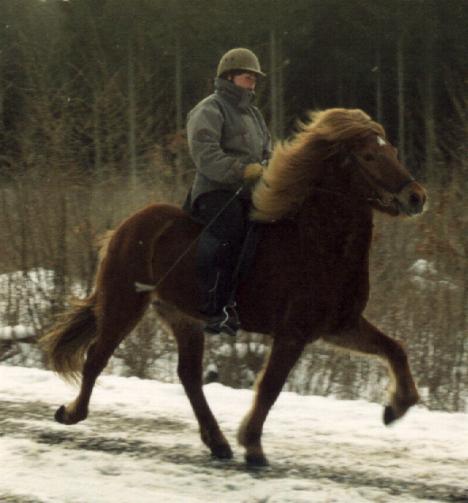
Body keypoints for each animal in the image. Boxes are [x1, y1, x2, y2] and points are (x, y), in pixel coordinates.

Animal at [41, 110, 428, 468]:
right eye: (369, 156)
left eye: (392, 150)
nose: (416, 197)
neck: (318, 243)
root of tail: (126, 225)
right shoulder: (293, 333)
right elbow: (270, 388)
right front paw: (253, 445)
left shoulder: (340, 326)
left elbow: (396, 349)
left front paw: (395, 408)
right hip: (124, 303)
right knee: (97, 356)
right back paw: (71, 413)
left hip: (184, 318)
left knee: (189, 377)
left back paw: (218, 443)